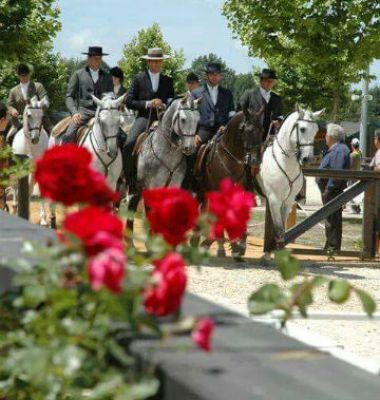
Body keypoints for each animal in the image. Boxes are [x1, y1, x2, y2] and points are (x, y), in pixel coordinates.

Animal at [11, 94, 50, 225]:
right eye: (29, 115)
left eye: (42, 116)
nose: (35, 139)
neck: (30, 146)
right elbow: (21, 188)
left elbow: (33, 189)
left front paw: (42, 219)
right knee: (14, 186)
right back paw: (14, 206)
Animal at [258, 106, 324, 255]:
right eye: (303, 129)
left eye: (316, 130)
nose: (307, 159)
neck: (285, 162)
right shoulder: (274, 200)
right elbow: (278, 229)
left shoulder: (287, 201)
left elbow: (283, 230)